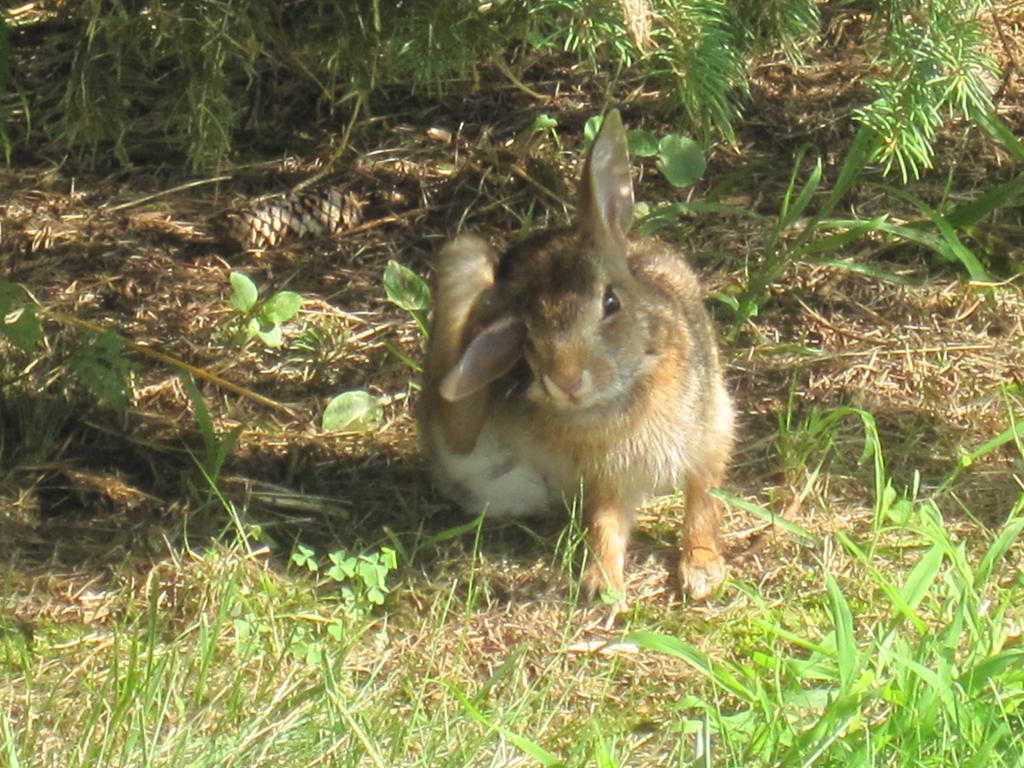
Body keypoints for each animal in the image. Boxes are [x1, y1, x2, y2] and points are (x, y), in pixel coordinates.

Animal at [419, 109, 734, 603]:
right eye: (526, 332)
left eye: (610, 302)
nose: (565, 380)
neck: (623, 392)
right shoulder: (606, 481)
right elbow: (606, 522)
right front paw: (604, 585)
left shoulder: (712, 430)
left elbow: (702, 499)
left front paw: (702, 571)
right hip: (461, 269)